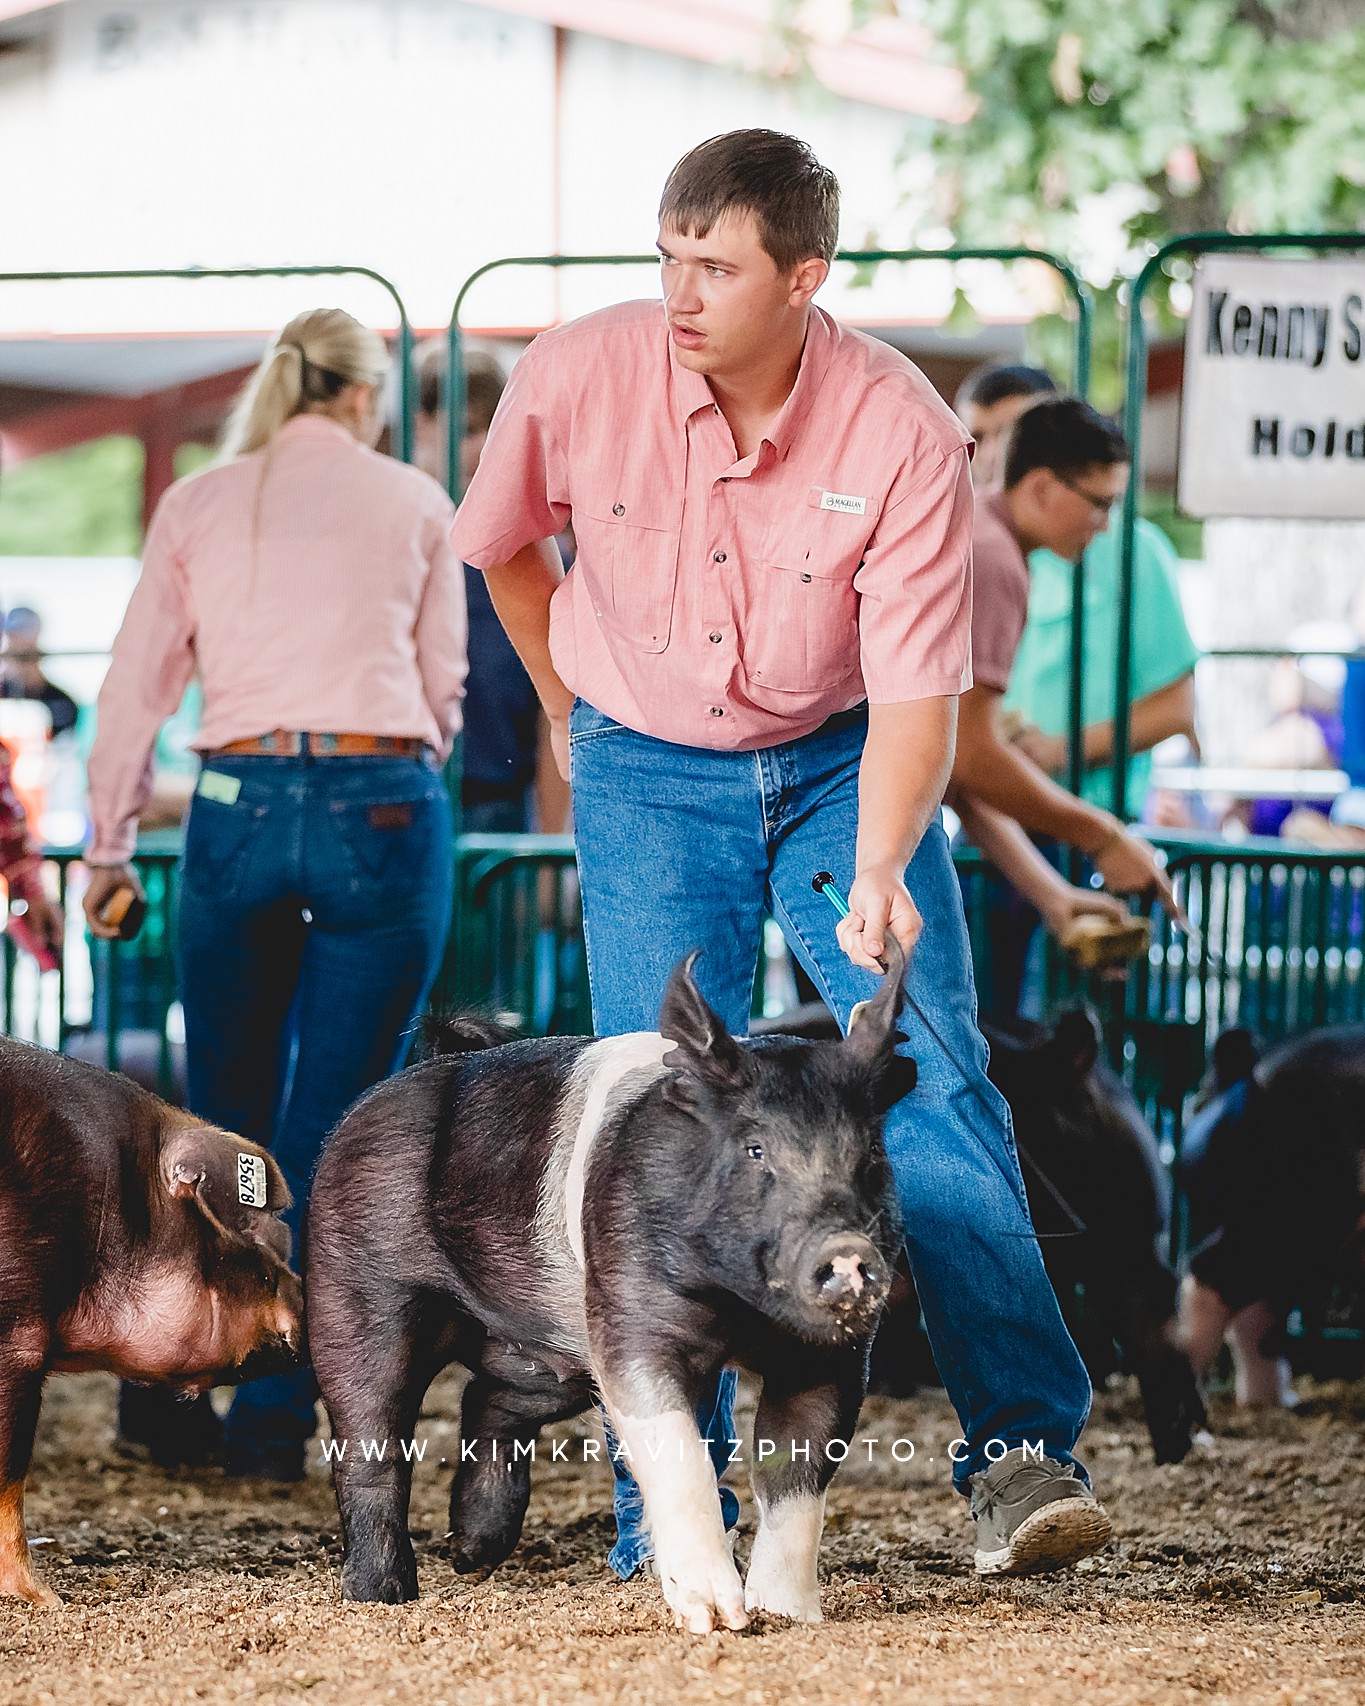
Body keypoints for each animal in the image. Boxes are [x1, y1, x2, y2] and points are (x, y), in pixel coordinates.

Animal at [303, 941, 914, 1630]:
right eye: (755, 1150)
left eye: (870, 1156)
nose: (847, 1251)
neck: (740, 1312)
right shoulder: (629, 1314)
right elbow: (678, 1452)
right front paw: (715, 1619)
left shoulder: (829, 1357)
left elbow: (796, 1475)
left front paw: (787, 1616)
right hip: (353, 1286)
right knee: (370, 1438)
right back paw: (383, 1593)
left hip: (556, 1347)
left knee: (488, 1399)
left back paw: (472, 1550)